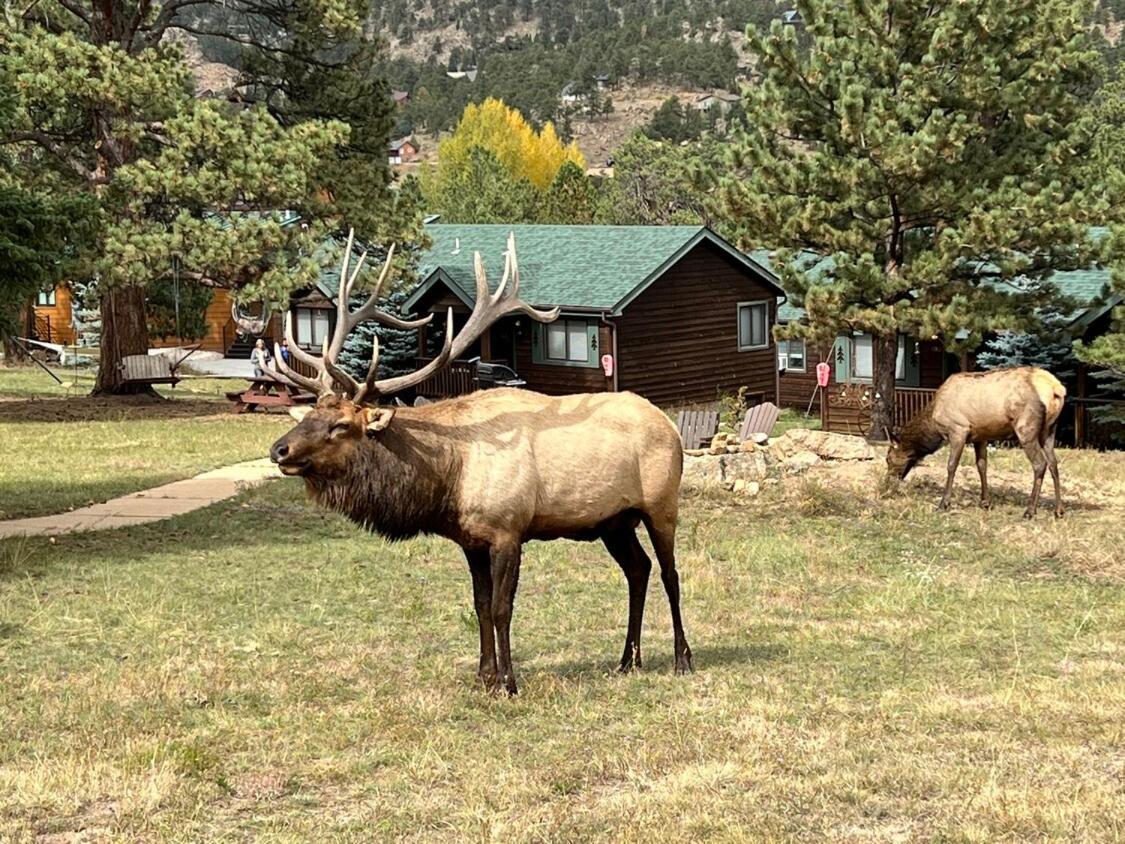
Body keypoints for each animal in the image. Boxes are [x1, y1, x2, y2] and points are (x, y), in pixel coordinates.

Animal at [265, 231, 684, 693]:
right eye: (309, 415)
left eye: (340, 425)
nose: (279, 450)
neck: (449, 477)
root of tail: (671, 425)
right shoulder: (470, 540)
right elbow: (480, 605)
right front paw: (485, 675)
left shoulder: (508, 530)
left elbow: (502, 608)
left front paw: (509, 682)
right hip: (614, 521)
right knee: (638, 570)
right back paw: (628, 660)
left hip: (661, 504)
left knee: (670, 574)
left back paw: (682, 658)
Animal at [886, 366, 1062, 519]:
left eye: (887, 459)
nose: (888, 480)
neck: (934, 425)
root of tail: (1056, 389)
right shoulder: (980, 436)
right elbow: (982, 465)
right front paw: (985, 503)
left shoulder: (958, 430)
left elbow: (951, 466)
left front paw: (944, 503)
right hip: (1049, 430)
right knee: (1053, 463)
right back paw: (1058, 510)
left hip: (1025, 427)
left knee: (1040, 464)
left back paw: (1030, 511)